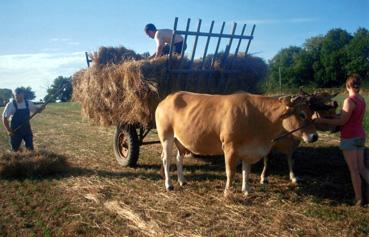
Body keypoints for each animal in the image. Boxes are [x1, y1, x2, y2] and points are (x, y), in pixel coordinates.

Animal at [154, 90, 318, 196]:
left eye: (312, 114)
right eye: (302, 114)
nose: (314, 136)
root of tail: (167, 98)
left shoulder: (249, 150)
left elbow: (246, 171)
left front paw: (246, 190)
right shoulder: (229, 147)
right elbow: (231, 171)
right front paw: (228, 191)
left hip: (180, 140)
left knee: (178, 158)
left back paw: (182, 181)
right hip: (166, 136)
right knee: (166, 159)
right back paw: (169, 184)